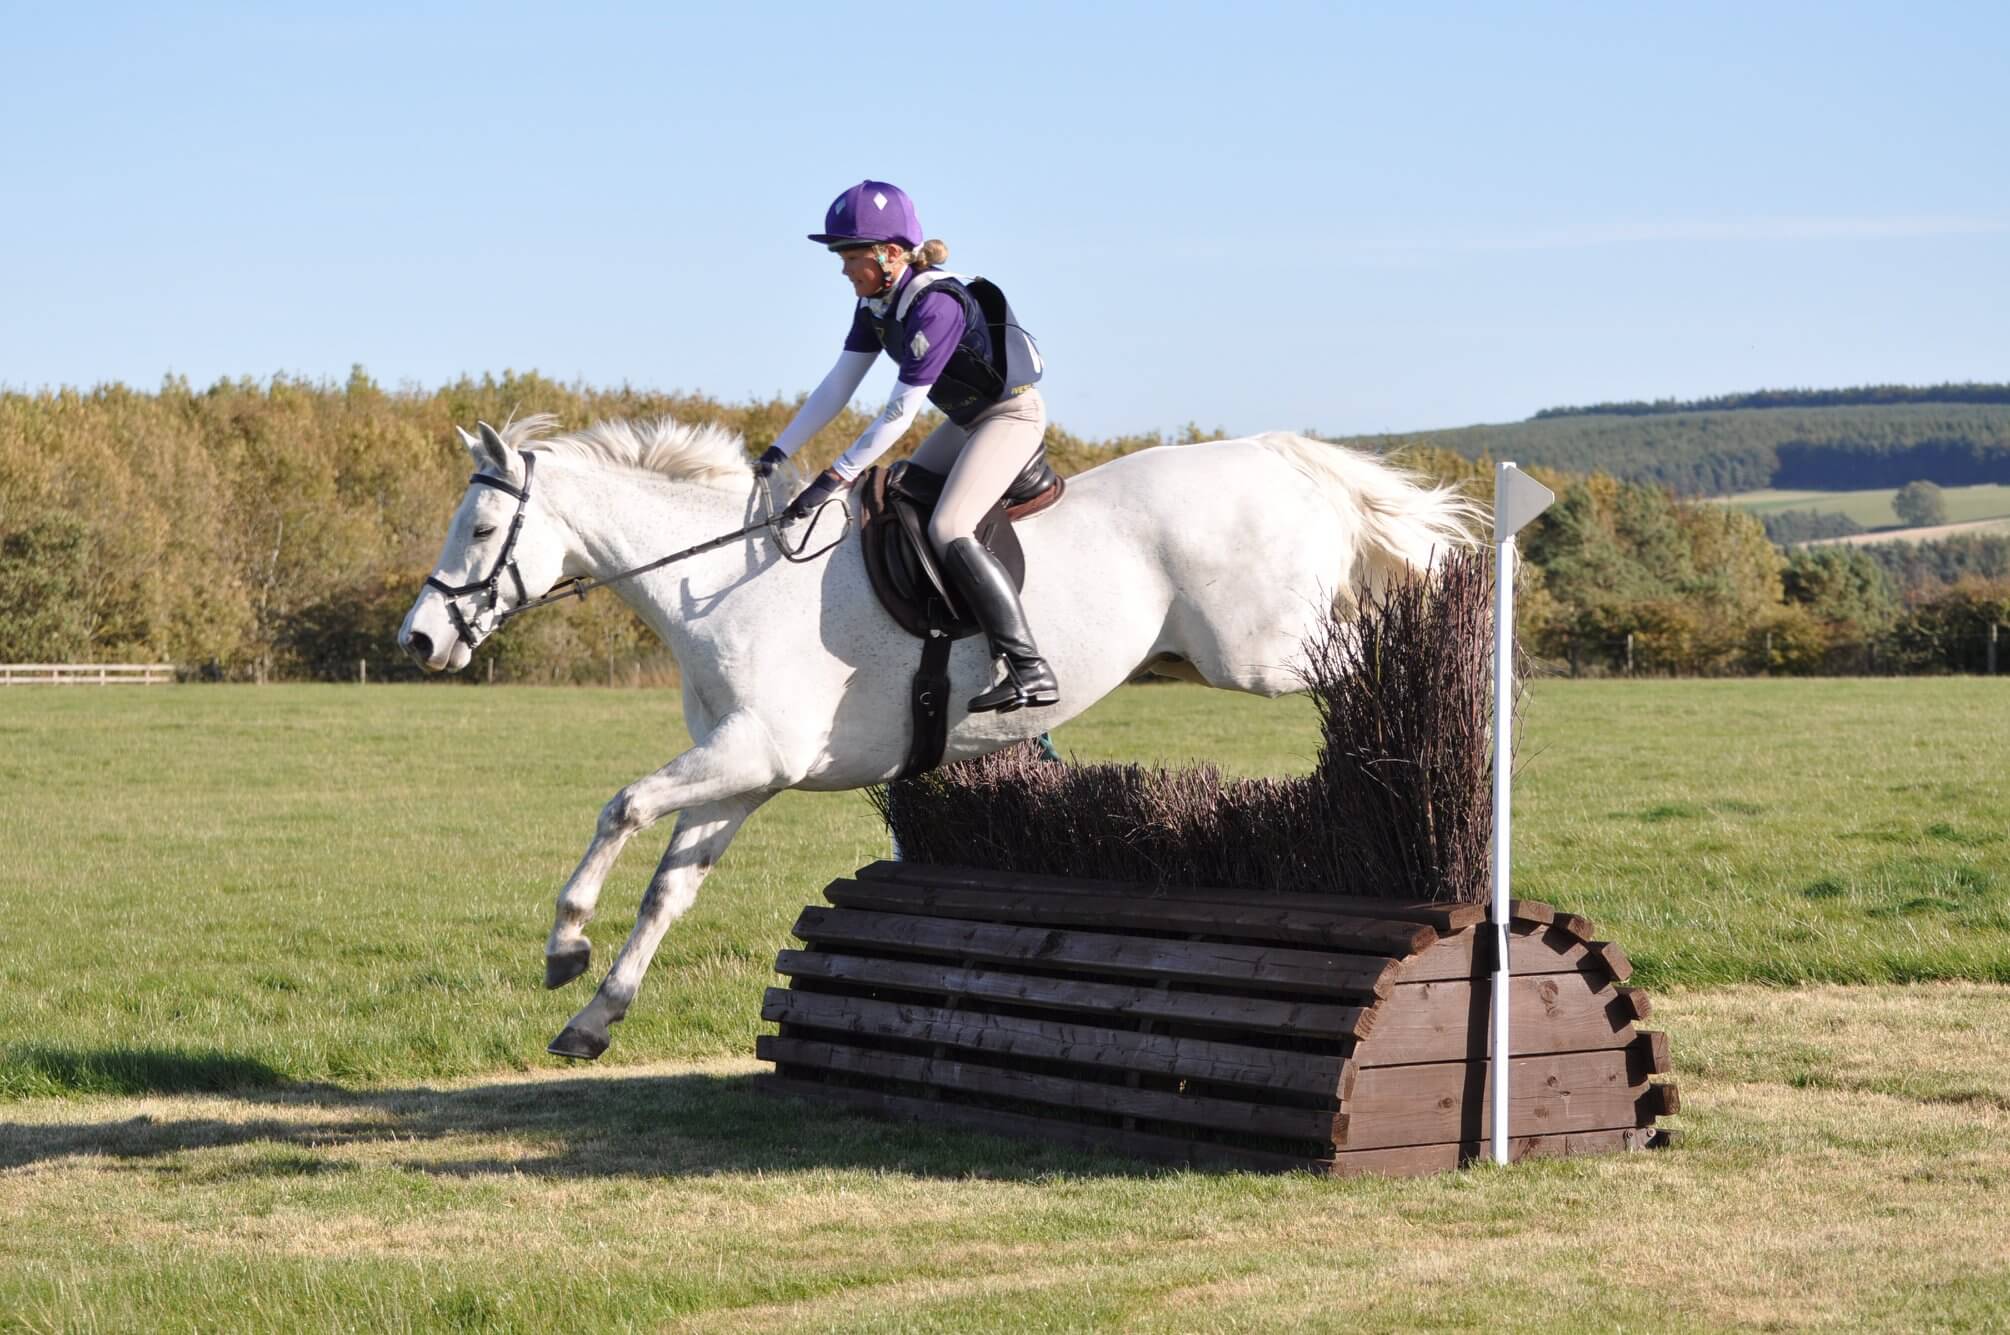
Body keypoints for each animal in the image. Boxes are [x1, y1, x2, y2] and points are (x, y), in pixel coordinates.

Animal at [398, 415, 1482, 1060]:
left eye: (482, 527)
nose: (419, 639)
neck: (719, 584)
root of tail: (1277, 454)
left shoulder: (751, 756)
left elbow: (619, 806)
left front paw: (566, 944)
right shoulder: (740, 777)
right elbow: (670, 888)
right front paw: (594, 1016)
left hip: (1262, 651)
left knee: (1383, 645)